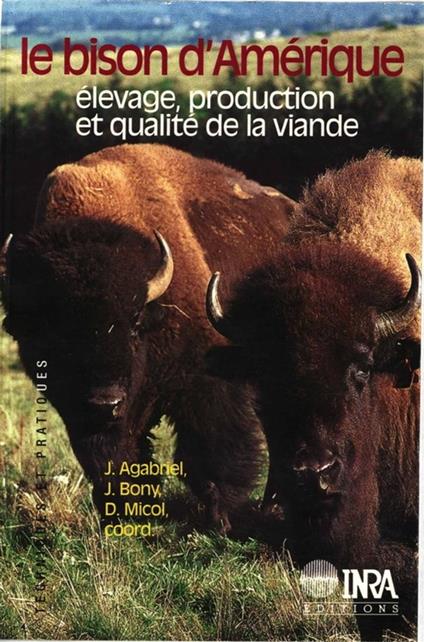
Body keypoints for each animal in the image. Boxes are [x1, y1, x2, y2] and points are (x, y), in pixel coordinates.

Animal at [1, 143, 295, 532]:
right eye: (56, 331)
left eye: (134, 321)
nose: (106, 401)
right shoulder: (84, 413)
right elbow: (110, 456)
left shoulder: (206, 378)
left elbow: (212, 444)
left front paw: (223, 519)